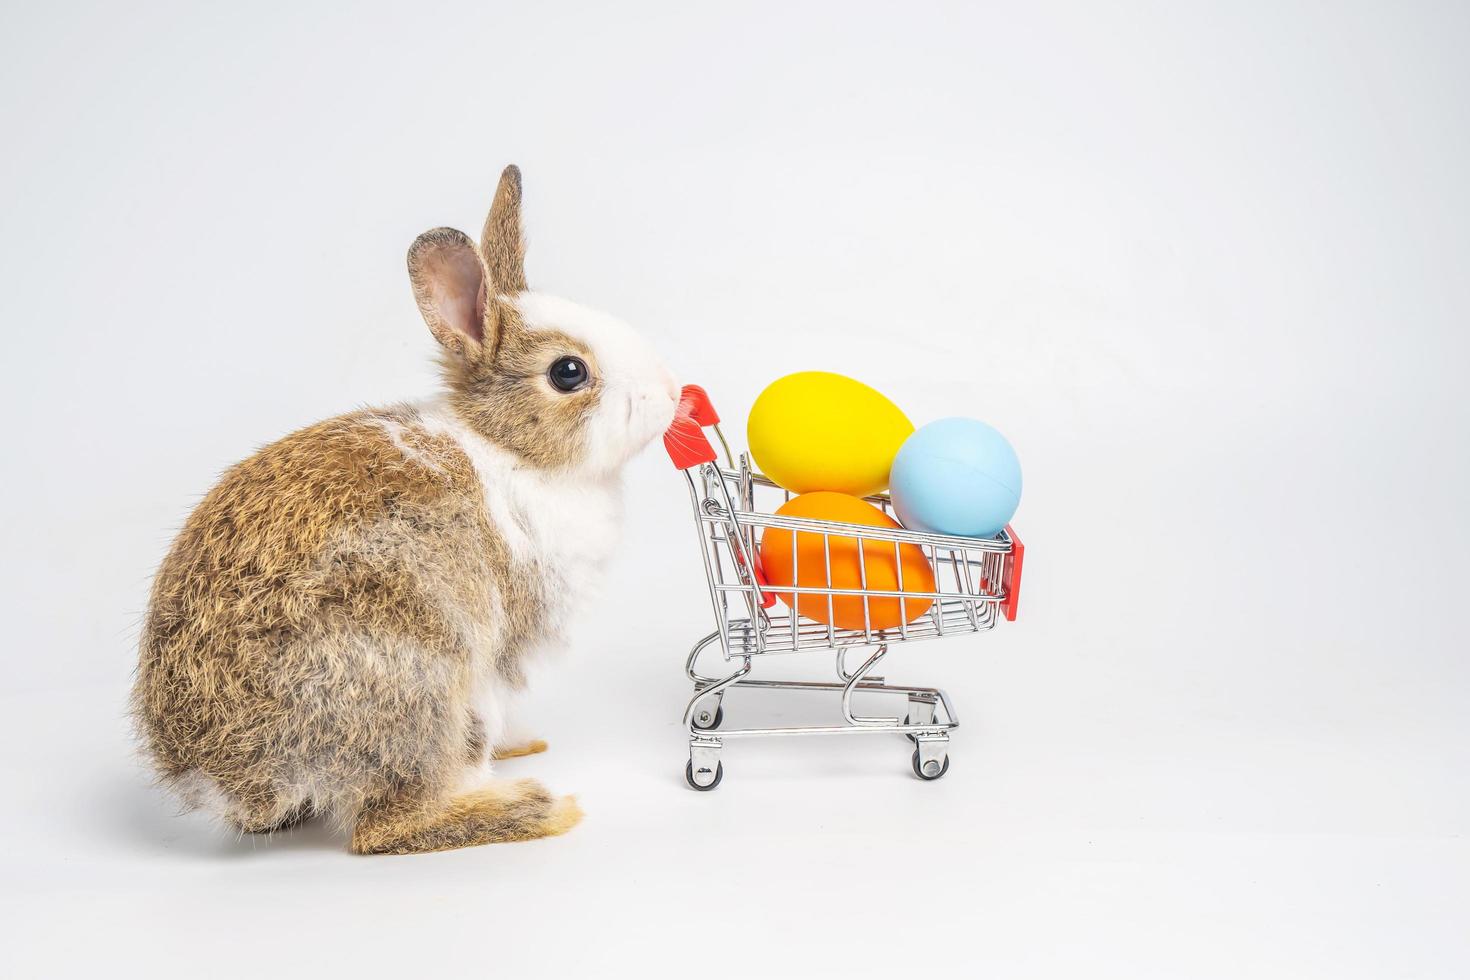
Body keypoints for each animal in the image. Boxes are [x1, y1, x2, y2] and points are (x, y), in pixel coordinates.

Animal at [129, 166, 679, 852]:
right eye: (569, 372)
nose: (671, 393)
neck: (506, 448)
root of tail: (221, 776)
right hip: (420, 679)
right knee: (385, 826)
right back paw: (536, 809)